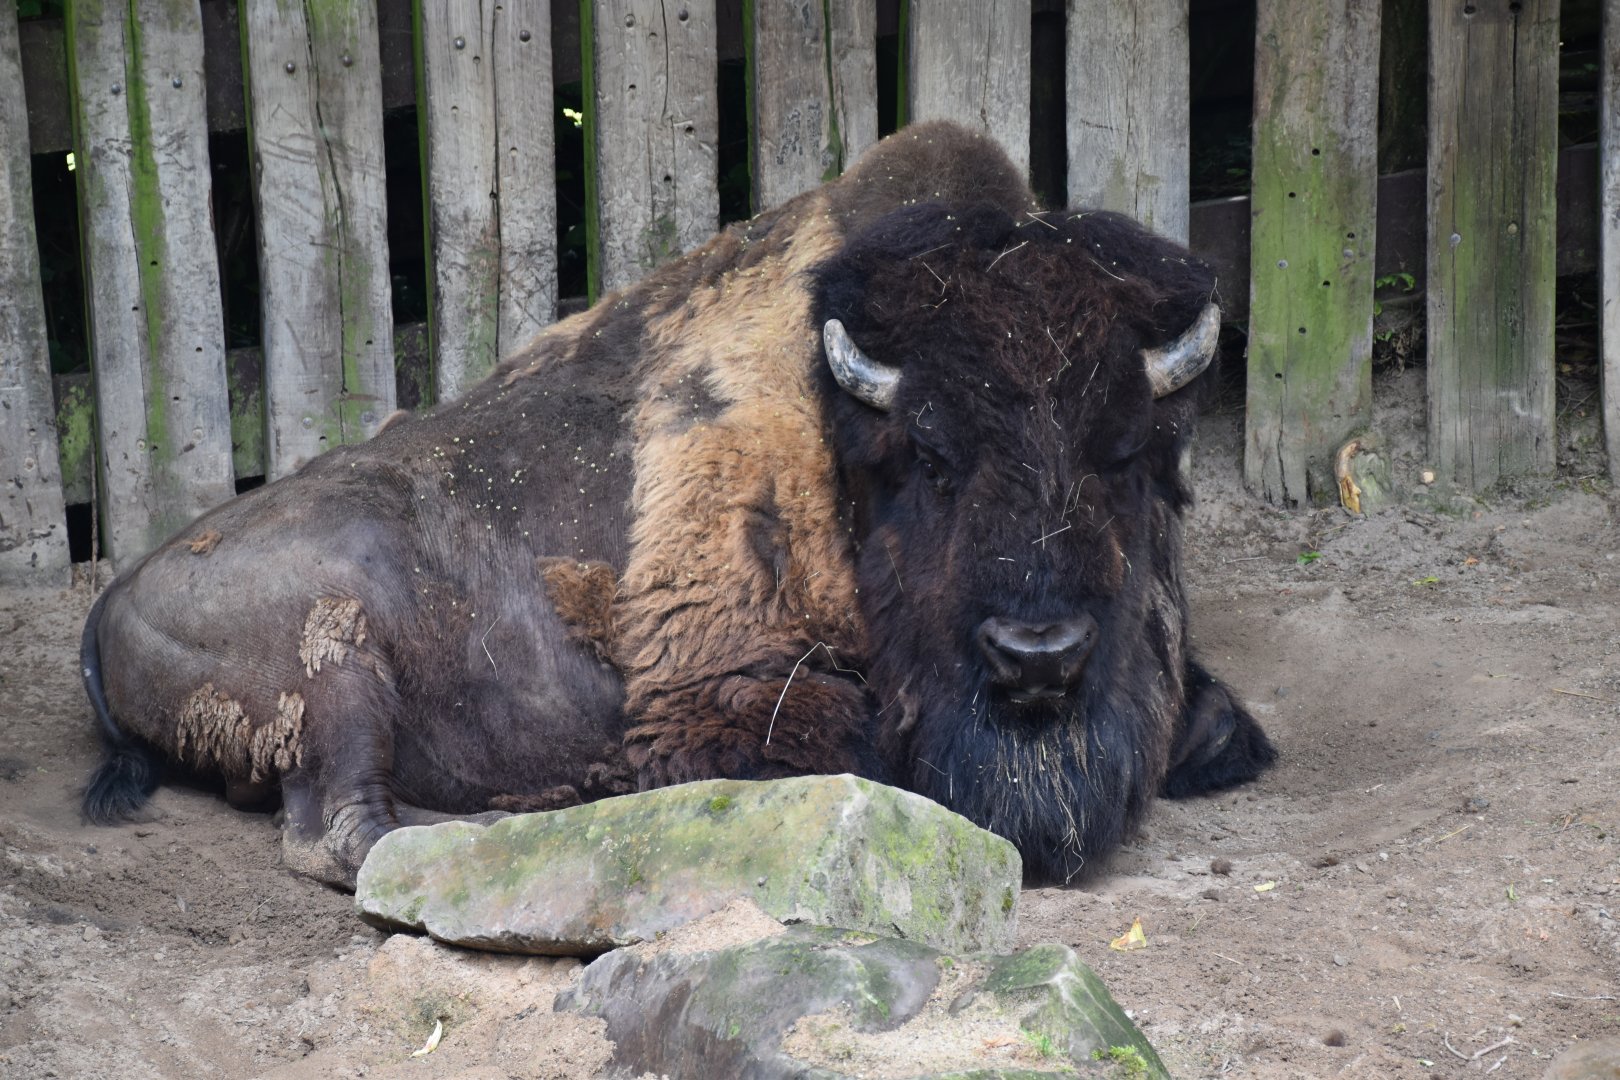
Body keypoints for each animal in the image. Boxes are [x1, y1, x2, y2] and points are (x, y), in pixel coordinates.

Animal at [81, 122, 1274, 886]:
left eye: (1129, 452)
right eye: (931, 455)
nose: (1037, 653)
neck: (841, 439)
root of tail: (115, 594)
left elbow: (1221, 727)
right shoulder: (716, 697)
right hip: (339, 657)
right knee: (339, 830)